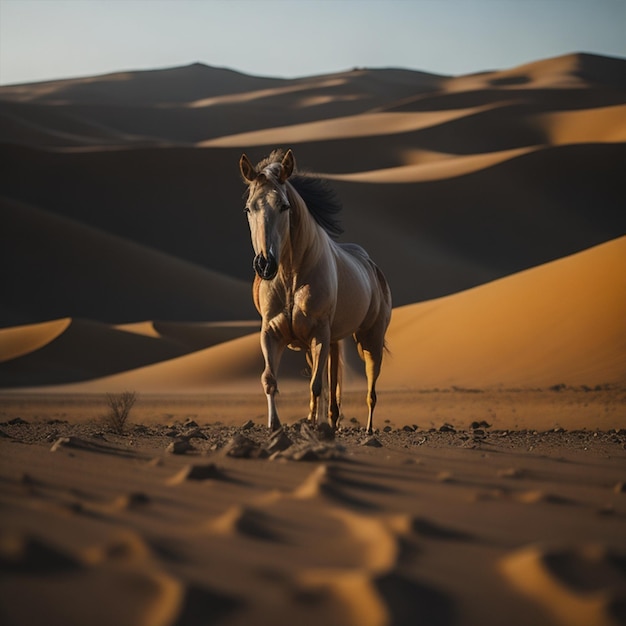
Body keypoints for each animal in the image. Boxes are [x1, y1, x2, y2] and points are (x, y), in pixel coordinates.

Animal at [239, 148, 390, 432]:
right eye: (249, 208)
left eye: (284, 206)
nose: (265, 264)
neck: (290, 278)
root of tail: (372, 267)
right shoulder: (271, 333)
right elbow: (270, 380)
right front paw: (275, 425)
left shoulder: (319, 334)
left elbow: (316, 385)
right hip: (328, 342)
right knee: (333, 386)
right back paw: (326, 421)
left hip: (370, 339)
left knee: (371, 386)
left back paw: (367, 429)